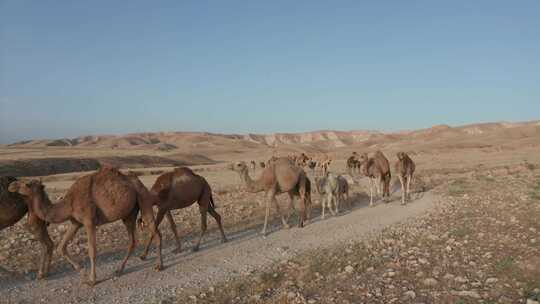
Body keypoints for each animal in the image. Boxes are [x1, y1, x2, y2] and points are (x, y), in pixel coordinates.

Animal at [8, 167, 162, 286]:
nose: (11, 185)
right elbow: (61, 247)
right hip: (128, 214)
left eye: (27, 184)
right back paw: (119, 270)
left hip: (143, 198)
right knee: (132, 241)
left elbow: (92, 251)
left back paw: (159, 266)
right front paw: (81, 269)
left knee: (155, 232)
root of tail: (138, 182)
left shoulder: (89, 222)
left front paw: (92, 280)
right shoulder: (76, 223)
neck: (69, 203)